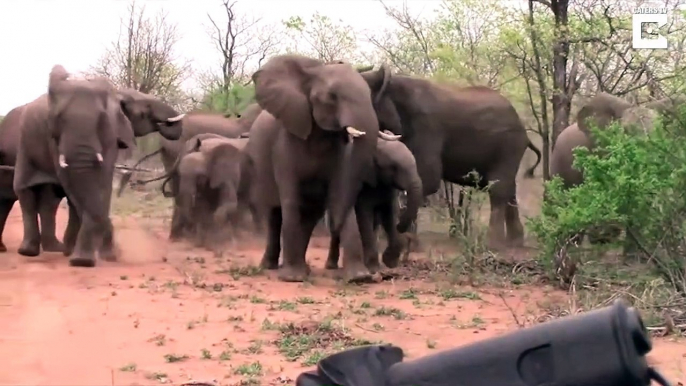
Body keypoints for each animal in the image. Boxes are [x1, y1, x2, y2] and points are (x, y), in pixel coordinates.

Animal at [0, 79, 185, 256]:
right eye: (145, 109)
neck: (118, 91)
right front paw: (108, 253)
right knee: (28, 193)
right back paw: (34, 250)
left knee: (42, 196)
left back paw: (48, 249)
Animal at [247, 54, 404, 282]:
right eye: (332, 96)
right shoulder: (284, 145)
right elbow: (290, 199)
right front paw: (292, 278)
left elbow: (339, 192)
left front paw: (358, 278)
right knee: (275, 214)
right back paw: (271, 267)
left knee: (309, 216)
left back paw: (304, 268)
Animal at [324, 137, 424, 282]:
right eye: (393, 167)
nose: (402, 227)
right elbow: (365, 215)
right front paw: (373, 268)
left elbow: (389, 215)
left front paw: (389, 262)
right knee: (335, 229)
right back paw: (331, 266)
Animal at [360, 68, 544, 249]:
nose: (399, 228)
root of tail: (524, 131)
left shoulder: (427, 128)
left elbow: (428, 180)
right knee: (510, 189)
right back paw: (514, 242)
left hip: (509, 146)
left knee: (498, 189)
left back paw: (493, 245)